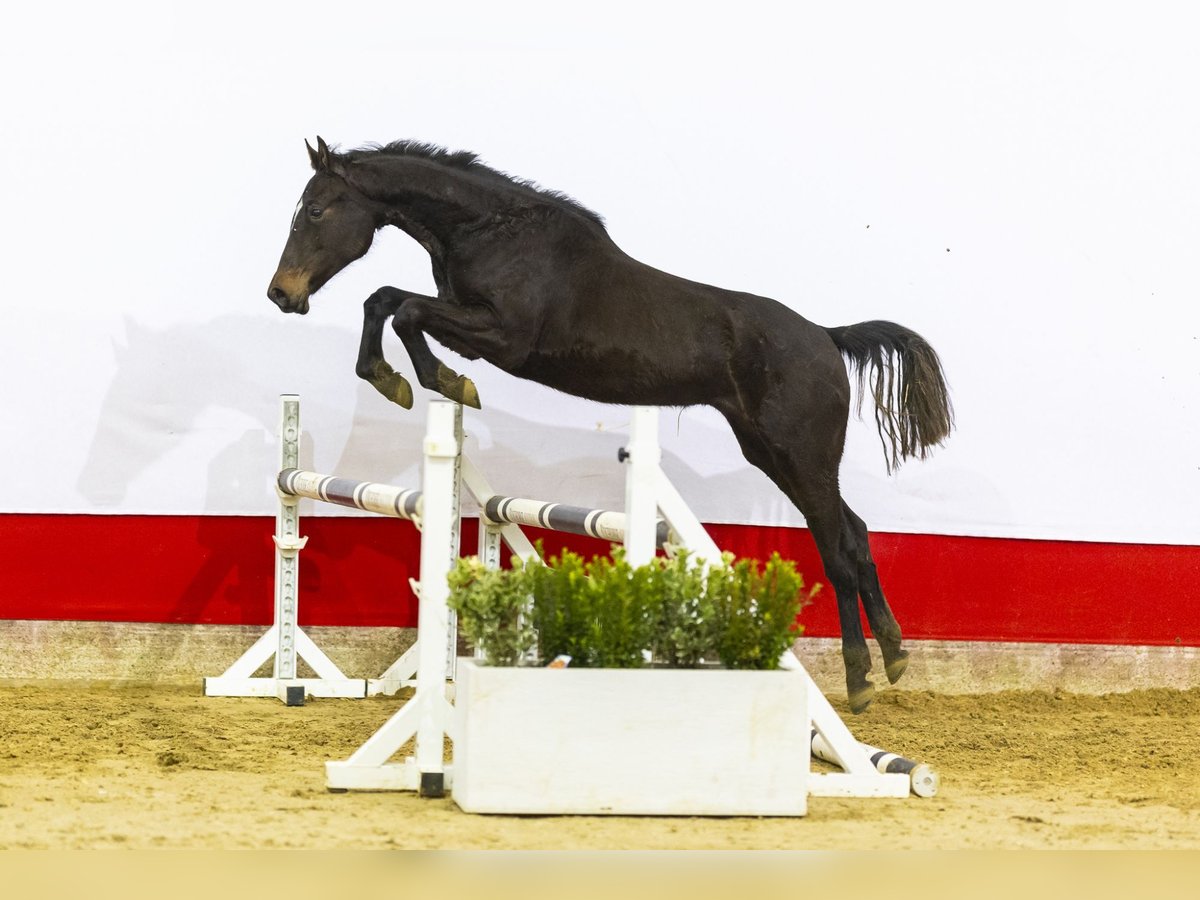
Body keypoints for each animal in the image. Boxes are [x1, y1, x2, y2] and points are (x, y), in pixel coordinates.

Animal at [267, 135, 950, 710]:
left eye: (317, 211)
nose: (282, 293)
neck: (492, 232)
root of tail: (828, 338)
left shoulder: (502, 337)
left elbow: (404, 309)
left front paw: (436, 382)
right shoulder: (469, 322)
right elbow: (386, 300)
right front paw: (399, 379)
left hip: (802, 455)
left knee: (837, 550)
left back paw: (860, 680)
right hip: (775, 454)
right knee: (855, 534)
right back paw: (895, 657)